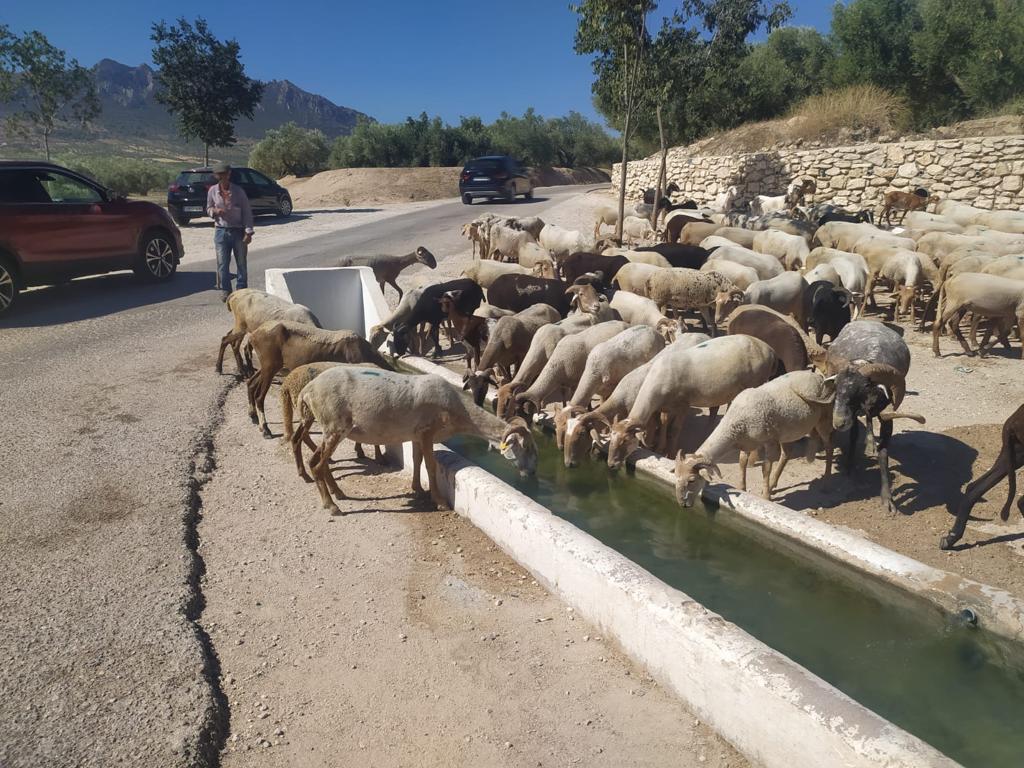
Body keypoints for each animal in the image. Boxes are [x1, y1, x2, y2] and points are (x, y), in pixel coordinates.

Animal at [243, 319, 395, 438]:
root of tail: (253, 336)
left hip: (267, 367)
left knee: (251, 382)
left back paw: (252, 415)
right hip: (270, 366)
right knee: (259, 396)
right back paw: (265, 429)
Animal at [292, 370, 536, 514]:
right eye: (527, 447)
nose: (532, 474)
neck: (460, 412)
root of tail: (307, 389)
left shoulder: (417, 434)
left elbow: (417, 460)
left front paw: (417, 488)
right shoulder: (428, 432)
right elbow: (431, 465)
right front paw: (439, 502)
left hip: (329, 428)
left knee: (318, 461)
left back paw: (338, 493)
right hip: (335, 426)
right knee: (318, 465)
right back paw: (331, 505)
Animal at [561, 335, 712, 468]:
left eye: (581, 434)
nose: (568, 463)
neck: (622, 395)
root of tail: (703, 335)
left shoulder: (647, 414)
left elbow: (648, 431)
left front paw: (647, 447)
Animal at [598, 335, 774, 468]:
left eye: (626, 440)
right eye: (611, 437)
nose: (611, 464)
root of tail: (769, 349)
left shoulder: (683, 405)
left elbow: (675, 430)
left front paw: (670, 453)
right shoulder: (665, 406)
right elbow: (663, 423)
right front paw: (660, 448)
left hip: (757, 381)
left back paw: (751, 460)